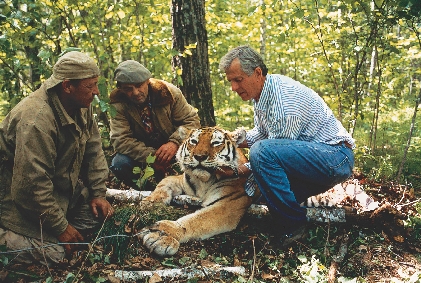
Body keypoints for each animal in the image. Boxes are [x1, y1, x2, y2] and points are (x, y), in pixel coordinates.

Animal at [139, 126, 254, 258]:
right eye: (194, 141)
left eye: (215, 143)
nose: (199, 156)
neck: (203, 182)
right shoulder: (180, 179)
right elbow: (164, 182)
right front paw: (150, 202)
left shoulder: (229, 204)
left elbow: (196, 220)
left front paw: (162, 235)